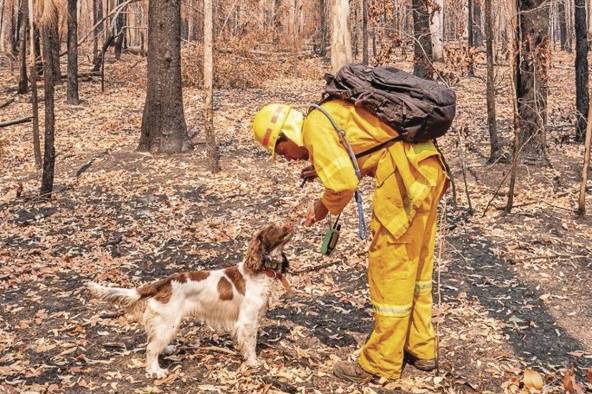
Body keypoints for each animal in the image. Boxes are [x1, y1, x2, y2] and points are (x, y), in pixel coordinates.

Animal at [86, 223, 292, 378]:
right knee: (151, 348)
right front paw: (253, 362)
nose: (289, 224)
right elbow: (251, 344)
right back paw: (156, 371)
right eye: (273, 228)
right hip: (168, 322)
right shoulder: (247, 321)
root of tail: (164, 283)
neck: (260, 271)